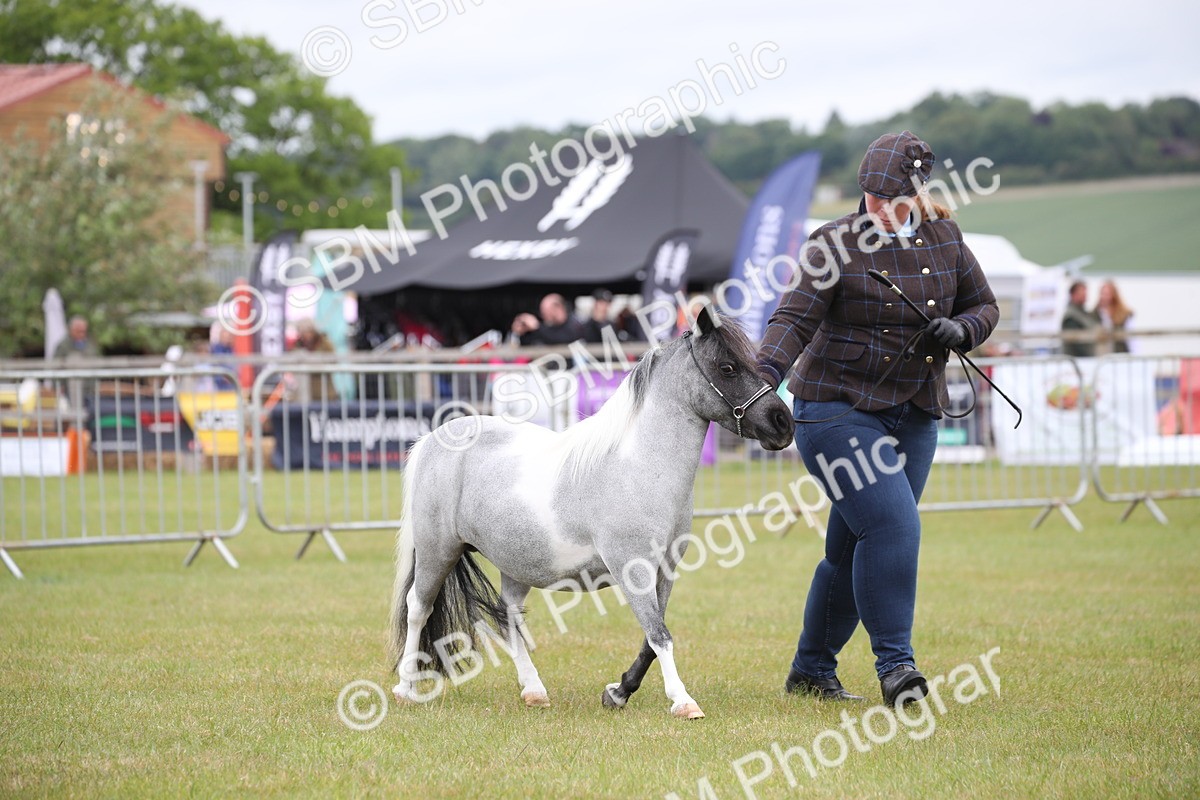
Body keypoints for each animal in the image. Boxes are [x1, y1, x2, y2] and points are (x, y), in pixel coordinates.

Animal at [388, 308, 795, 718]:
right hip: (437, 551)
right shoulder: (633, 570)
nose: (783, 422)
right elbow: (660, 635)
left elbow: (653, 637)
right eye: (727, 367)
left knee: (509, 617)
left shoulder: (665, 572)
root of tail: (433, 439)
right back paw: (406, 688)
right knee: (418, 609)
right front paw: (683, 702)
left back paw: (534, 691)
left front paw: (619, 692)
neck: (639, 466)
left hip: (515, 563)